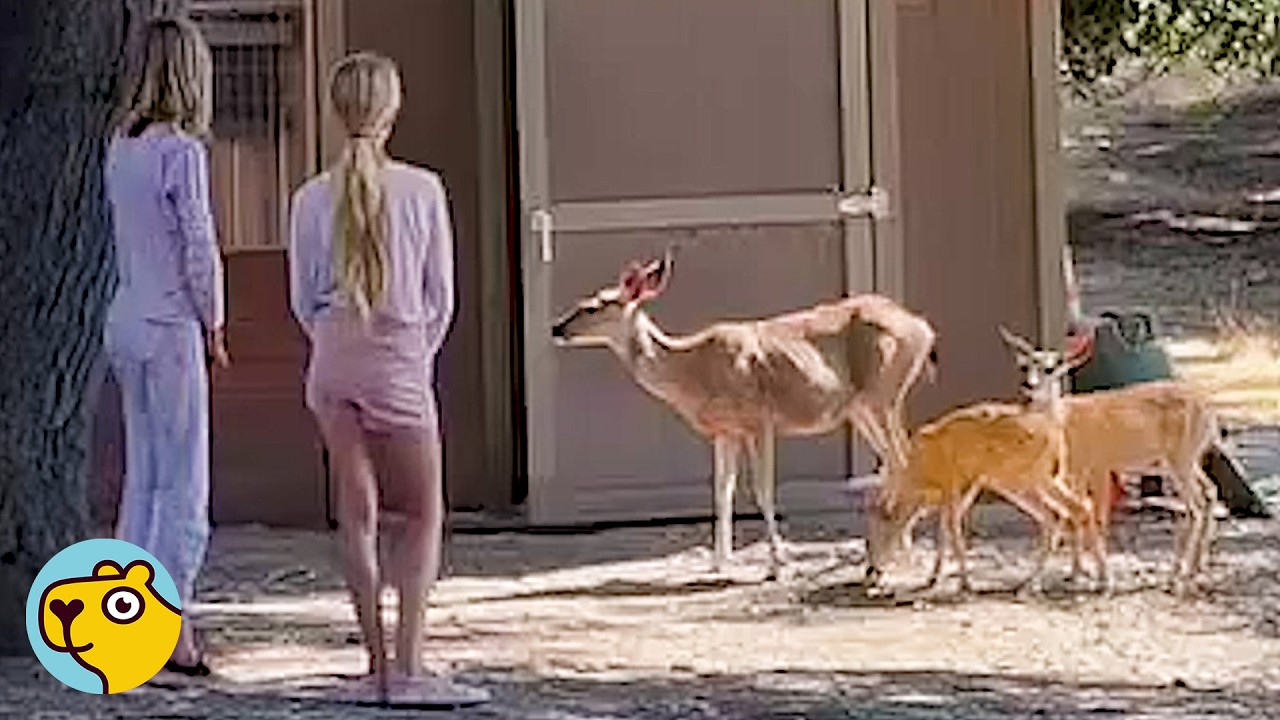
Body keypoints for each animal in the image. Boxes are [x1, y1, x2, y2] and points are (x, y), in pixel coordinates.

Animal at [550, 250, 938, 578]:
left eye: (593, 306)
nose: (556, 328)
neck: (692, 369)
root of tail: (923, 329)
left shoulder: (758, 419)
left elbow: (763, 492)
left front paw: (777, 565)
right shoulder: (724, 431)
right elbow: (722, 492)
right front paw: (718, 563)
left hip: (884, 393)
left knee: (902, 458)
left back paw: (898, 552)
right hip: (859, 408)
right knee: (895, 461)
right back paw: (898, 549)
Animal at [865, 327, 1103, 594]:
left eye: (871, 539)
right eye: (1024, 366)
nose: (870, 573)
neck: (921, 469)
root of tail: (1055, 435)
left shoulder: (954, 485)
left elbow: (953, 532)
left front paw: (965, 583)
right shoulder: (966, 488)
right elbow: (945, 530)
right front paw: (934, 578)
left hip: (1029, 480)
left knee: (1071, 510)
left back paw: (1091, 581)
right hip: (1034, 482)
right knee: (1064, 512)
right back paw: (1044, 581)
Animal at [996, 332, 1222, 595]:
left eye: (1050, 368)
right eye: (1024, 366)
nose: (1028, 386)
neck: (1064, 424)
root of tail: (1211, 415)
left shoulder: (1097, 467)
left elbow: (1095, 517)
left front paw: (1098, 579)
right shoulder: (1075, 473)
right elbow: (1075, 516)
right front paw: (1076, 573)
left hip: (1180, 461)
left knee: (1194, 507)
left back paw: (1176, 579)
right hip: (1184, 462)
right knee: (1209, 491)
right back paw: (1195, 569)